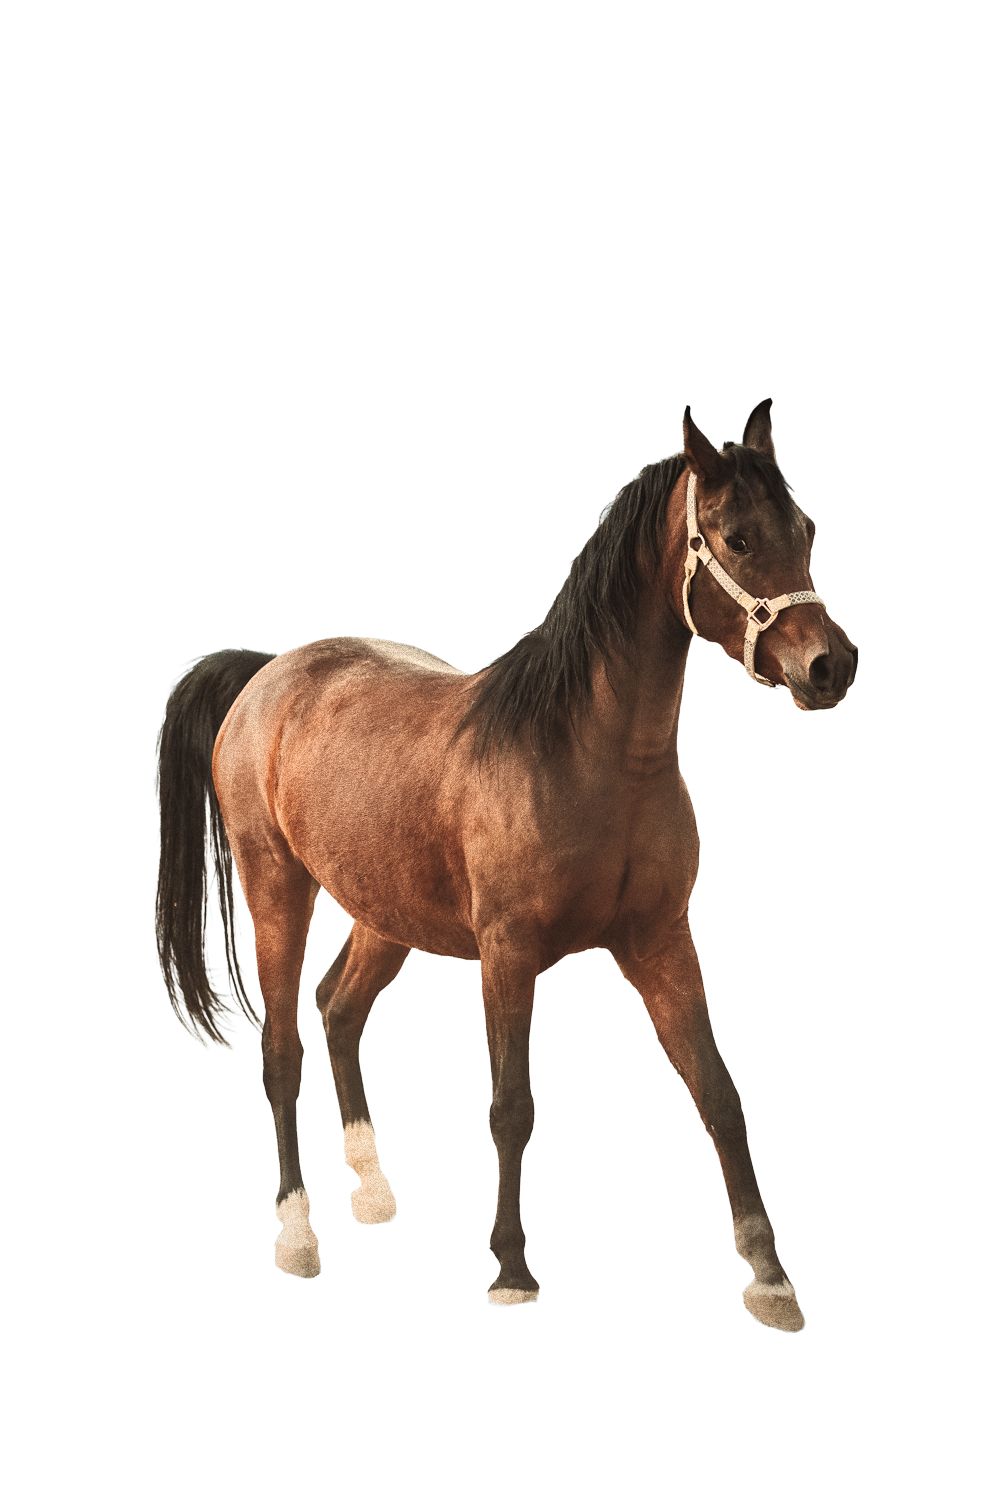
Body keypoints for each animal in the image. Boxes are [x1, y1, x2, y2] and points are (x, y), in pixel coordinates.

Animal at [153, 398, 857, 1331]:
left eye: (805, 529)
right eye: (736, 537)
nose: (830, 665)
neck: (588, 756)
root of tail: (267, 674)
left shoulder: (662, 941)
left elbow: (718, 1091)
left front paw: (770, 1277)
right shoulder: (509, 956)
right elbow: (512, 1107)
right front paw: (512, 1270)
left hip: (385, 914)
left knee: (338, 1008)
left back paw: (373, 1186)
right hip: (279, 894)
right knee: (284, 1051)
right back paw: (298, 1233)